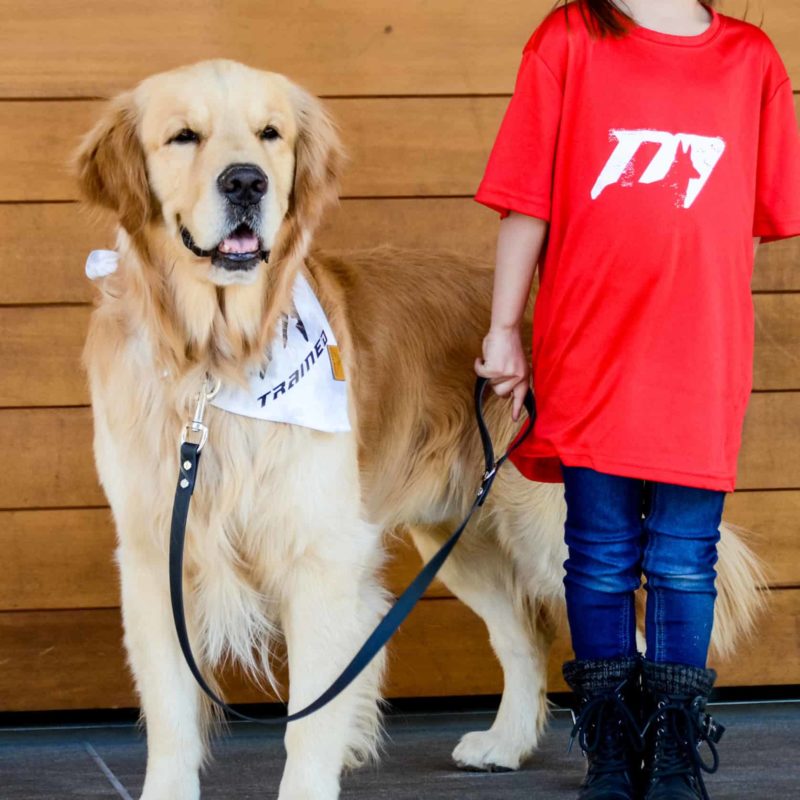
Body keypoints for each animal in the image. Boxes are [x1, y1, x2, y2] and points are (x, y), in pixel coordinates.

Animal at [75, 59, 765, 800]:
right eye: (183, 136)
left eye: (270, 134)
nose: (246, 182)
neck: (218, 361)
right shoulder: (154, 559)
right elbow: (172, 717)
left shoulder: (320, 556)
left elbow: (308, 721)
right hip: (462, 533)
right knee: (525, 635)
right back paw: (505, 744)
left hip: (549, 526)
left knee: (630, 640)